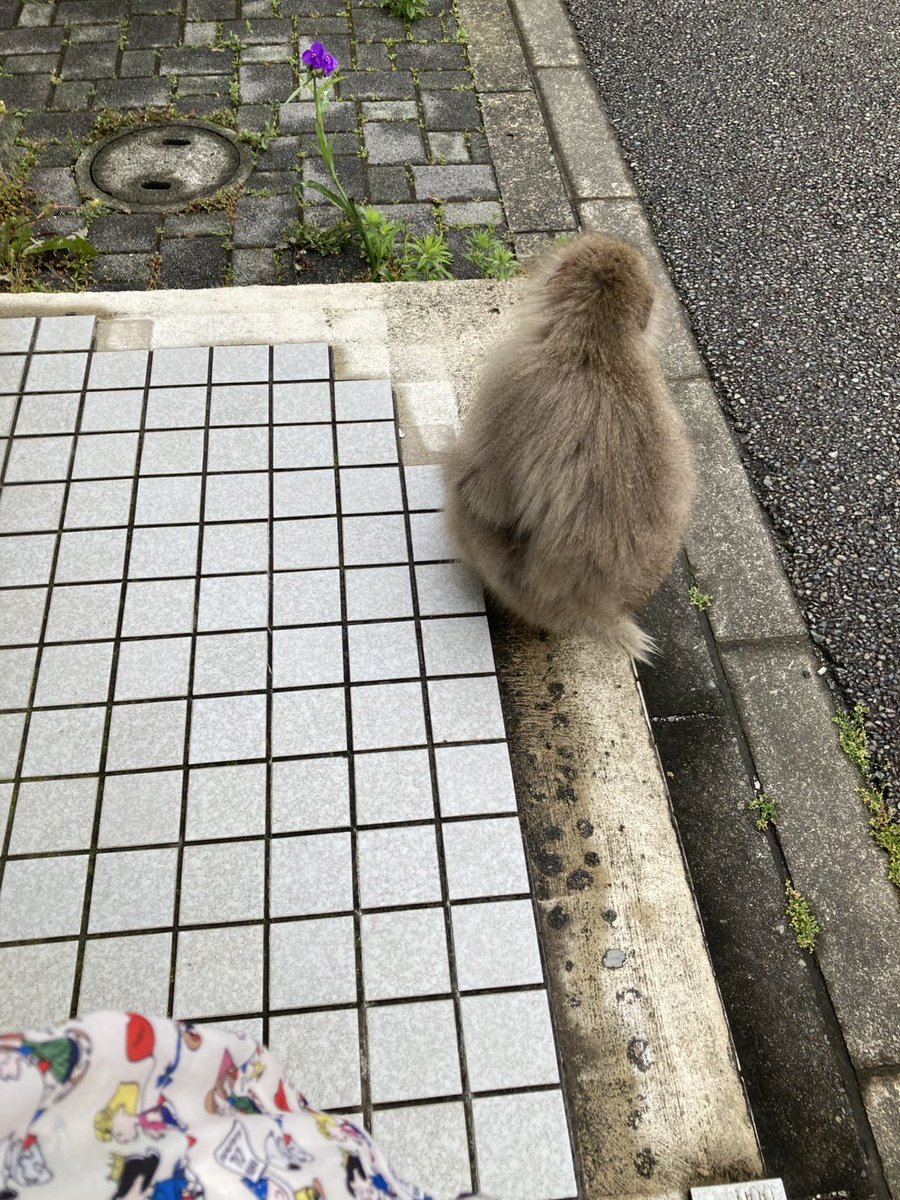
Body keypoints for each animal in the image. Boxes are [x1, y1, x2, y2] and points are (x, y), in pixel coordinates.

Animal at [442, 232, 696, 662]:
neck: (598, 346)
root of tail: (591, 612)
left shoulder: (512, 379)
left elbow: (482, 495)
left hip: (503, 574)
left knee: (466, 508)